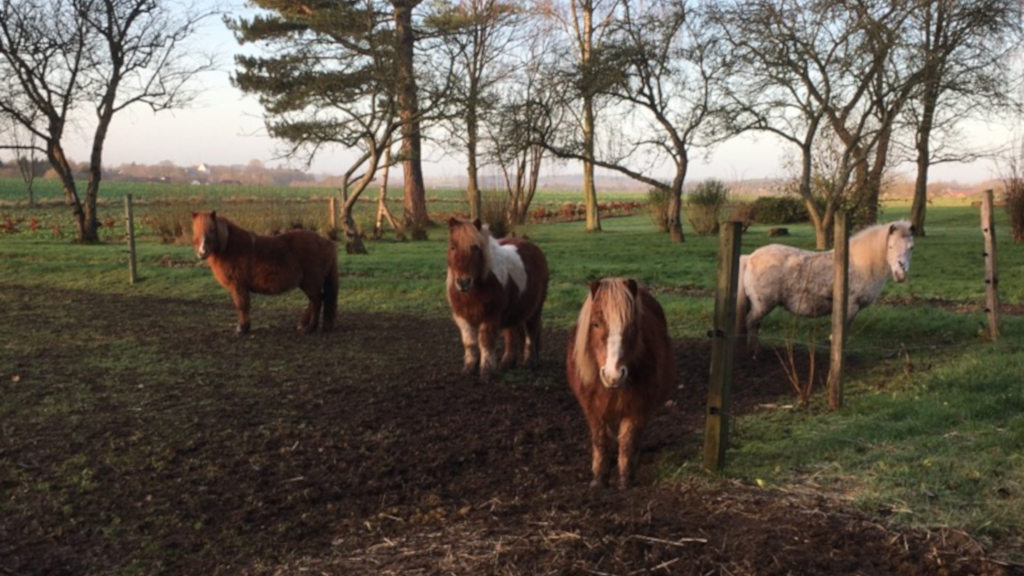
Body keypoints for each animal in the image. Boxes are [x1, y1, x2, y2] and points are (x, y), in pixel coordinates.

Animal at [191, 211, 339, 335]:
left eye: (211, 230)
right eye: (195, 231)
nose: (202, 252)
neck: (232, 248)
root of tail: (326, 242)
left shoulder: (238, 286)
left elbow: (242, 305)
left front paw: (242, 328)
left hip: (310, 282)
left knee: (317, 300)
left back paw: (309, 328)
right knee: (316, 300)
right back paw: (302, 324)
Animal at [446, 217, 550, 382]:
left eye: (475, 248)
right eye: (453, 247)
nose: (463, 282)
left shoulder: (490, 316)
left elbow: (486, 342)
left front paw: (486, 372)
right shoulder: (463, 318)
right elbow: (470, 343)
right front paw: (468, 369)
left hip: (535, 309)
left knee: (531, 332)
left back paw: (528, 361)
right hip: (513, 313)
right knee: (512, 335)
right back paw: (508, 362)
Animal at [566, 278, 676, 489]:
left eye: (632, 326)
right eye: (595, 324)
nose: (614, 375)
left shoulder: (637, 408)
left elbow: (628, 441)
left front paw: (625, 478)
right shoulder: (593, 409)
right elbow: (601, 439)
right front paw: (599, 478)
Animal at [737, 220, 915, 355]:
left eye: (911, 247)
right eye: (890, 246)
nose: (901, 273)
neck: (858, 264)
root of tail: (750, 257)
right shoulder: (850, 307)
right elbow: (842, 332)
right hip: (763, 305)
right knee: (751, 322)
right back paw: (756, 351)